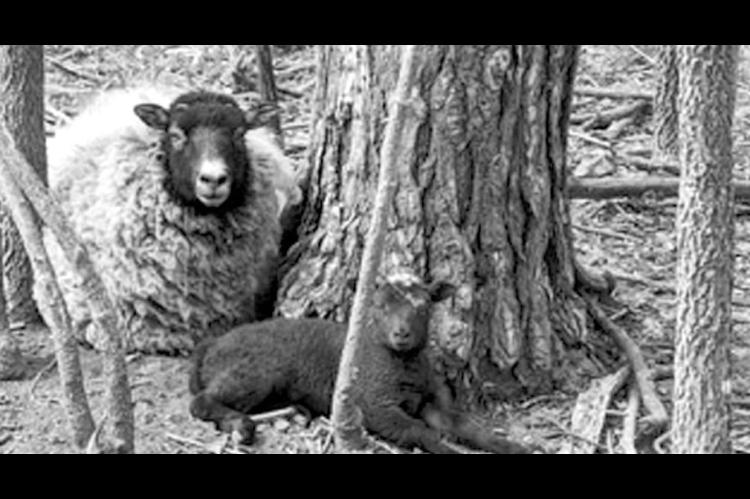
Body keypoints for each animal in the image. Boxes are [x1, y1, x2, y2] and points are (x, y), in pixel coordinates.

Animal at [189, 273, 532, 454]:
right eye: (379, 307)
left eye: (423, 308)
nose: (401, 333)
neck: (403, 364)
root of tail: (212, 345)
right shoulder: (376, 406)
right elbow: (423, 433)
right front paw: (449, 450)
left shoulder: (432, 401)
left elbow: (466, 427)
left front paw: (514, 446)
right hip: (253, 372)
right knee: (201, 402)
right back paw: (242, 427)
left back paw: (291, 413)